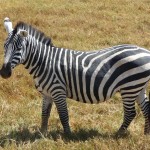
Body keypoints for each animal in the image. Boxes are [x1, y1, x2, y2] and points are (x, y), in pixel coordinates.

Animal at [0, 17, 150, 136]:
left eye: (19, 48)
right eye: (4, 46)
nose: (4, 72)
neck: (44, 62)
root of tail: (146, 51)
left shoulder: (58, 91)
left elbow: (63, 114)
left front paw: (68, 136)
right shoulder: (47, 94)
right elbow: (44, 114)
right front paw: (42, 134)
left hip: (129, 87)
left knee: (130, 113)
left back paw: (118, 134)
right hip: (138, 87)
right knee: (146, 108)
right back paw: (146, 133)